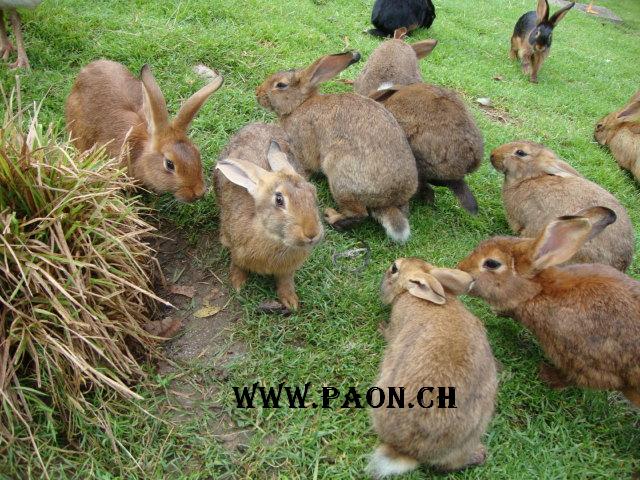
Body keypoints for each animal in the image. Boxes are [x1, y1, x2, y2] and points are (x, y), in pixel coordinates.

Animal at [214, 125, 323, 310]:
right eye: (279, 200)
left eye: (313, 192)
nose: (312, 233)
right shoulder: (237, 251)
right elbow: (237, 265)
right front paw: (238, 284)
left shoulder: (287, 269)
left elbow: (285, 281)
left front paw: (291, 302)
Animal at [256, 51, 419, 243]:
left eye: (281, 85)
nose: (257, 94)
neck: (300, 105)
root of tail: (388, 200)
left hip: (340, 175)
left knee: (359, 213)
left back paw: (332, 216)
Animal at [458, 207, 640, 407]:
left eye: (492, 263)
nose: (460, 268)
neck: (539, 292)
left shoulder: (588, 363)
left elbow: (580, 379)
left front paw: (546, 374)